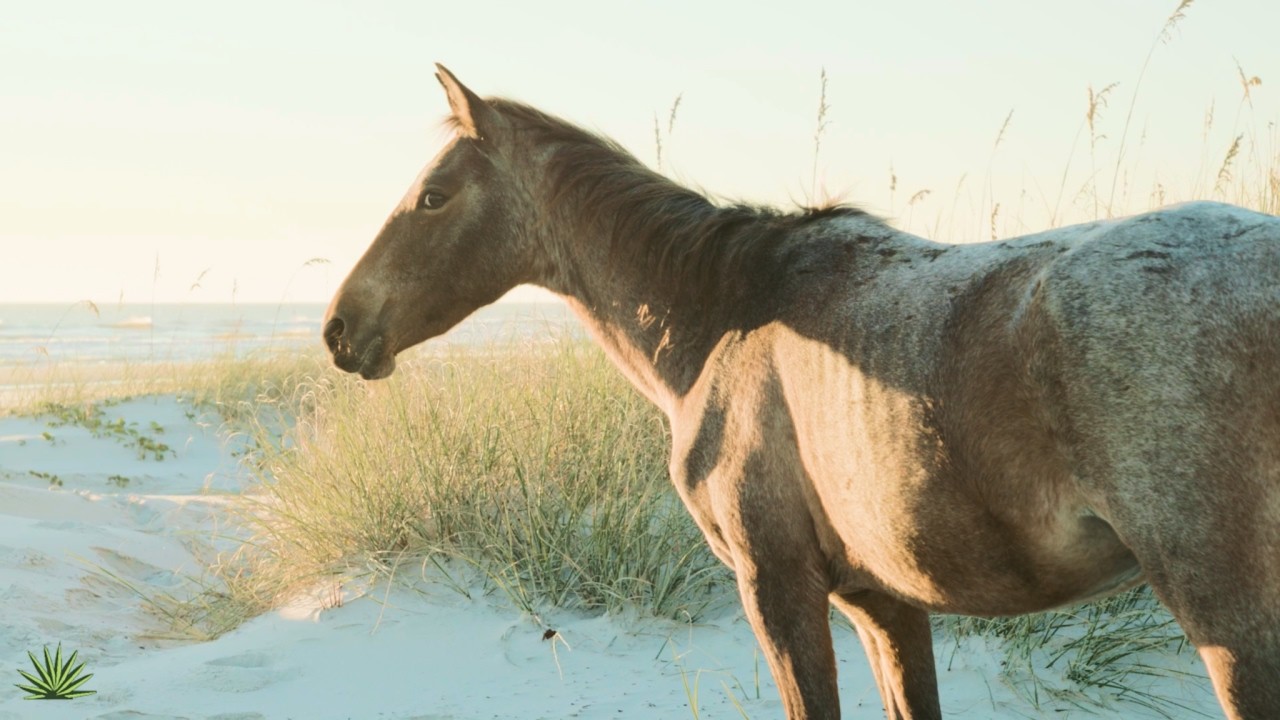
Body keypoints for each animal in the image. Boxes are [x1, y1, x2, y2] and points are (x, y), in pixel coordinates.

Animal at [323, 65, 1280, 719]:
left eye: (433, 197)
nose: (338, 328)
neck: (729, 313)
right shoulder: (885, 604)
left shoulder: (776, 586)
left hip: (1229, 616)